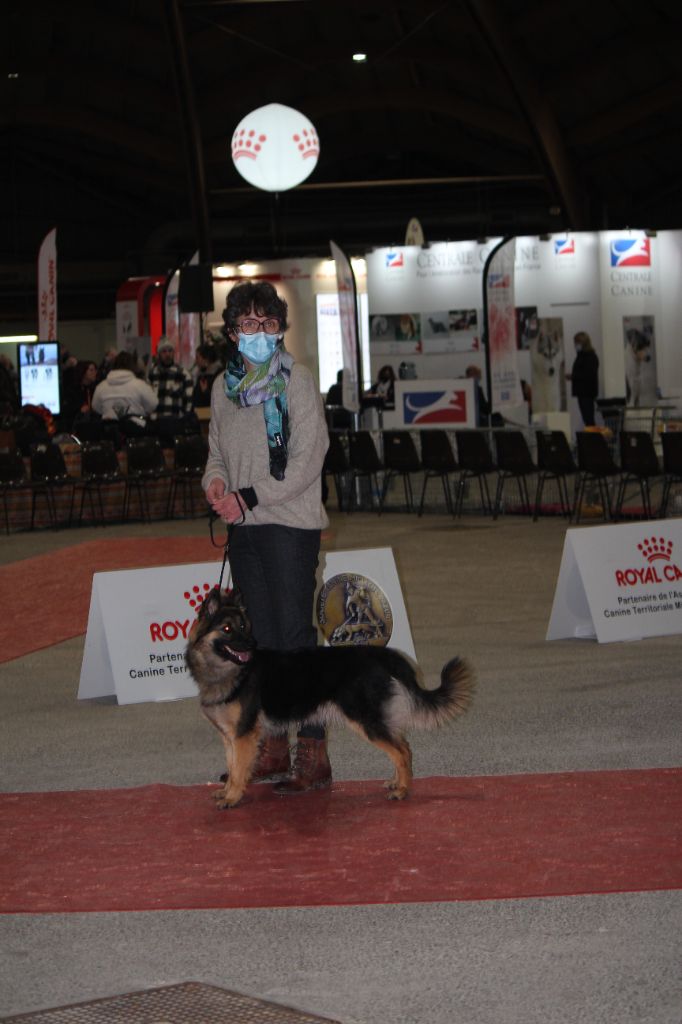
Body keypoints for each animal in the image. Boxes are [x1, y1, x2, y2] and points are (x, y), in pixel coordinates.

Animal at [186, 589, 473, 811]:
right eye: (227, 629)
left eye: (244, 627)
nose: (251, 645)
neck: (232, 672)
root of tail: (381, 655)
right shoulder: (231, 738)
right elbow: (233, 766)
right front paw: (227, 792)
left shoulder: (243, 736)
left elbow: (237, 772)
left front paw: (232, 798)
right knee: (403, 746)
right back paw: (397, 782)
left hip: (365, 720)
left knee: (401, 751)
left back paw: (402, 791)